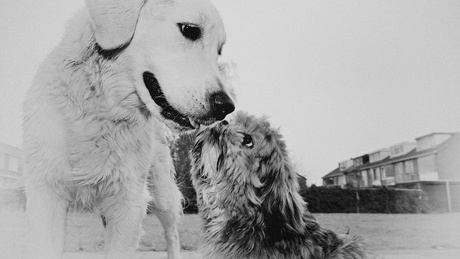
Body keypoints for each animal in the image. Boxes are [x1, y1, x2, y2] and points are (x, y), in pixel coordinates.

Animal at [22, 1, 234, 258]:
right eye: (190, 30)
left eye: (218, 51)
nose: (227, 106)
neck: (102, 107)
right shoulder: (46, 195)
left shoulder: (129, 203)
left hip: (162, 193)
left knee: (172, 233)